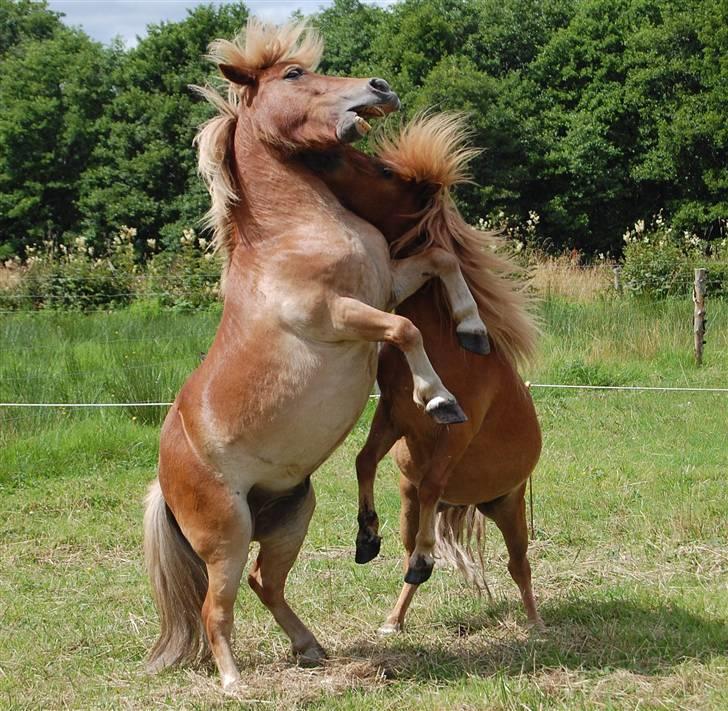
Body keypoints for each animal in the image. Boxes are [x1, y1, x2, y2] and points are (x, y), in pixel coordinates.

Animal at [141, 22, 490, 688]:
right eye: (294, 75)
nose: (380, 86)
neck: (292, 235)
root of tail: (165, 479)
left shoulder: (386, 282)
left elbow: (441, 260)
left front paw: (474, 329)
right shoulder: (340, 316)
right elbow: (407, 330)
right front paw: (440, 400)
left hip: (290, 513)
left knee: (265, 583)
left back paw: (311, 647)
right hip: (226, 534)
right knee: (216, 605)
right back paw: (234, 682)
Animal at [304, 115, 544, 636]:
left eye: (386, 172)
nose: (321, 153)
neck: (442, 342)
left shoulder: (458, 432)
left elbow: (433, 482)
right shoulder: (394, 416)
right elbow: (363, 461)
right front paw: (365, 536)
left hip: (511, 505)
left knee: (519, 565)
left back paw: (535, 623)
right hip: (416, 503)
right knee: (411, 554)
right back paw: (393, 619)